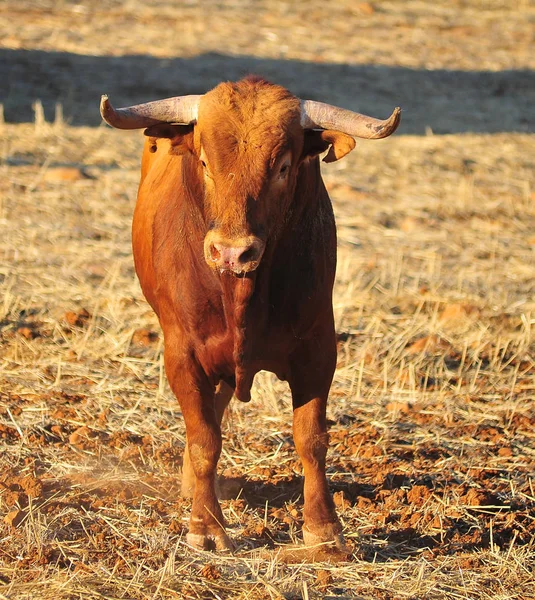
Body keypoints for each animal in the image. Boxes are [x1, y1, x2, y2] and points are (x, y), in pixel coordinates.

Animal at [101, 77, 402, 552]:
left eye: (282, 167)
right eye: (205, 160)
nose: (231, 252)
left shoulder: (318, 350)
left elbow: (311, 439)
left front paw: (324, 529)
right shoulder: (182, 353)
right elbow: (204, 438)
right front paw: (206, 525)